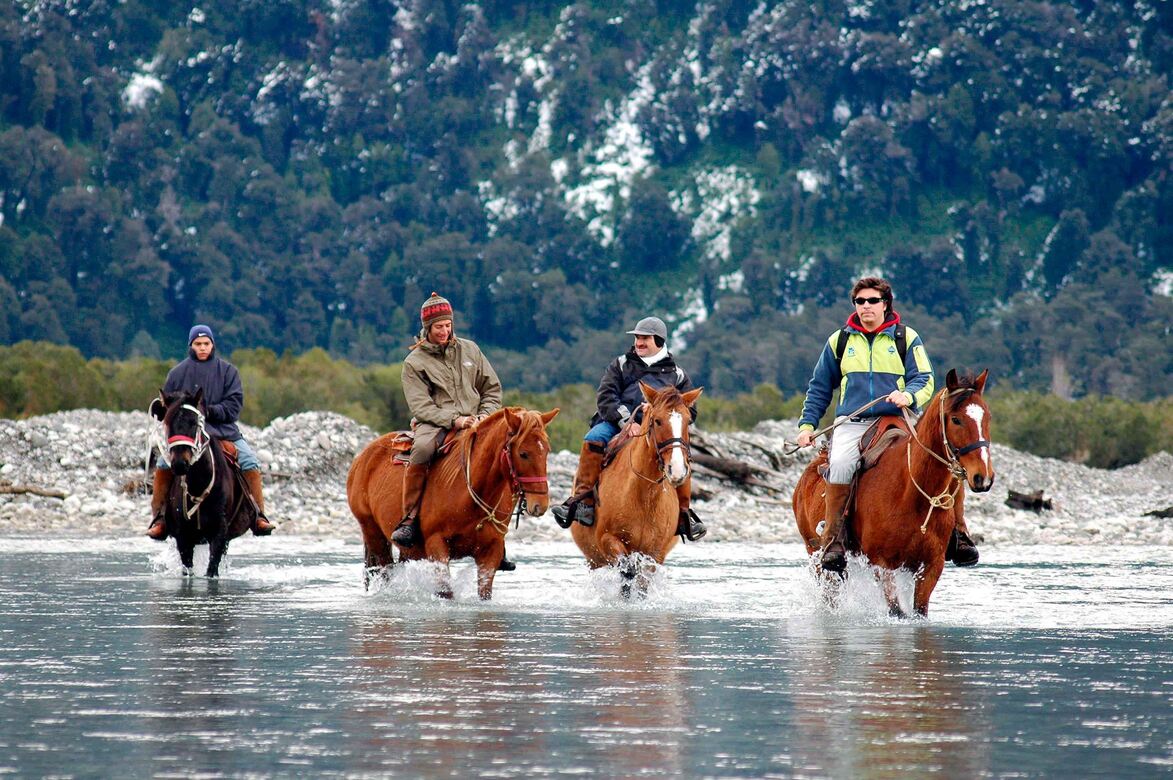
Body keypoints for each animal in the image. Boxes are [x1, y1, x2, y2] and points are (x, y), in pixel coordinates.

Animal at [347, 403, 558, 598]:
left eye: (547, 450)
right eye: (523, 453)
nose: (540, 505)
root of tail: (363, 457)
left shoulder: (491, 551)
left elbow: (484, 593)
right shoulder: (437, 545)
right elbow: (445, 592)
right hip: (373, 534)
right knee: (382, 571)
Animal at [570, 382, 699, 595]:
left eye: (688, 421)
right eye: (657, 421)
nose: (677, 469)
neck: (644, 496)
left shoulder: (655, 552)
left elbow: (641, 580)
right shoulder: (608, 540)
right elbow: (627, 572)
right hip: (593, 559)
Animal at [792, 368, 994, 619]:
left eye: (987, 418)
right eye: (956, 419)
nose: (983, 477)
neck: (911, 494)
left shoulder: (932, 565)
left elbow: (919, 610)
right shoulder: (882, 563)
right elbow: (896, 611)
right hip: (816, 554)